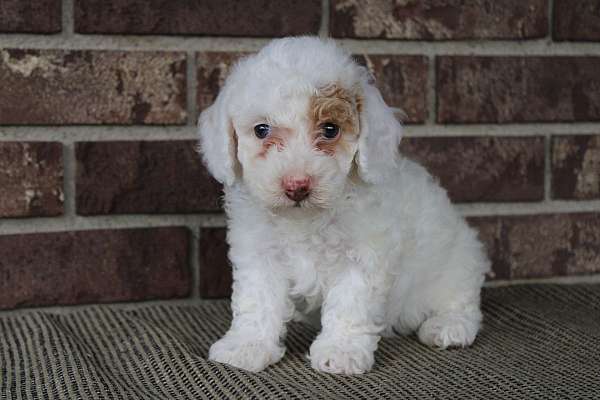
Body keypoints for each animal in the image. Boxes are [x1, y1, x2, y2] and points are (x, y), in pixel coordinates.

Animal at [199, 37, 490, 376]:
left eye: (330, 129)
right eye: (261, 130)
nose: (297, 185)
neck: (305, 219)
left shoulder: (363, 254)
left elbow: (350, 302)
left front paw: (341, 351)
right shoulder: (259, 252)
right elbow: (257, 300)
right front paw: (247, 345)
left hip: (457, 260)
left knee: (461, 301)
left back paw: (449, 326)